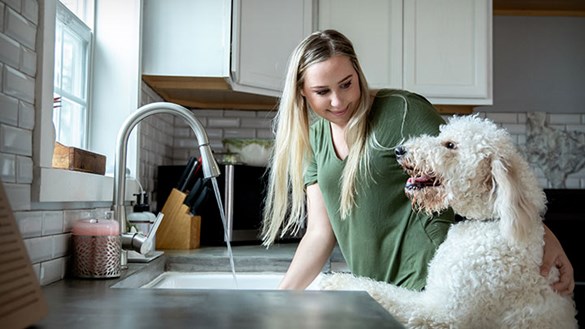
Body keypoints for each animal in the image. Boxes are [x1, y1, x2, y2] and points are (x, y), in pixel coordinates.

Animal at [322, 115, 576, 328]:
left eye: (450, 145)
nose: (399, 150)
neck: (487, 221)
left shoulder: (442, 313)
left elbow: (379, 293)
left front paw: (335, 282)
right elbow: (384, 288)